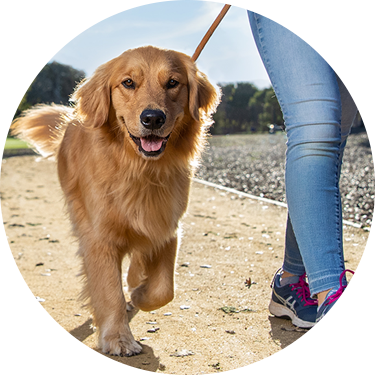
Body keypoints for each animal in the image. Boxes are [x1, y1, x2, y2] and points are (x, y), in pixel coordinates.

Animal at [11, 46, 220, 358]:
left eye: (173, 83)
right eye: (128, 83)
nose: (153, 118)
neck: (140, 170)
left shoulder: (167, 227)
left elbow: (163, 288)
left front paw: (139, 292)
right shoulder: (99, 237)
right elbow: (110, 291)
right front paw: (119, 339)